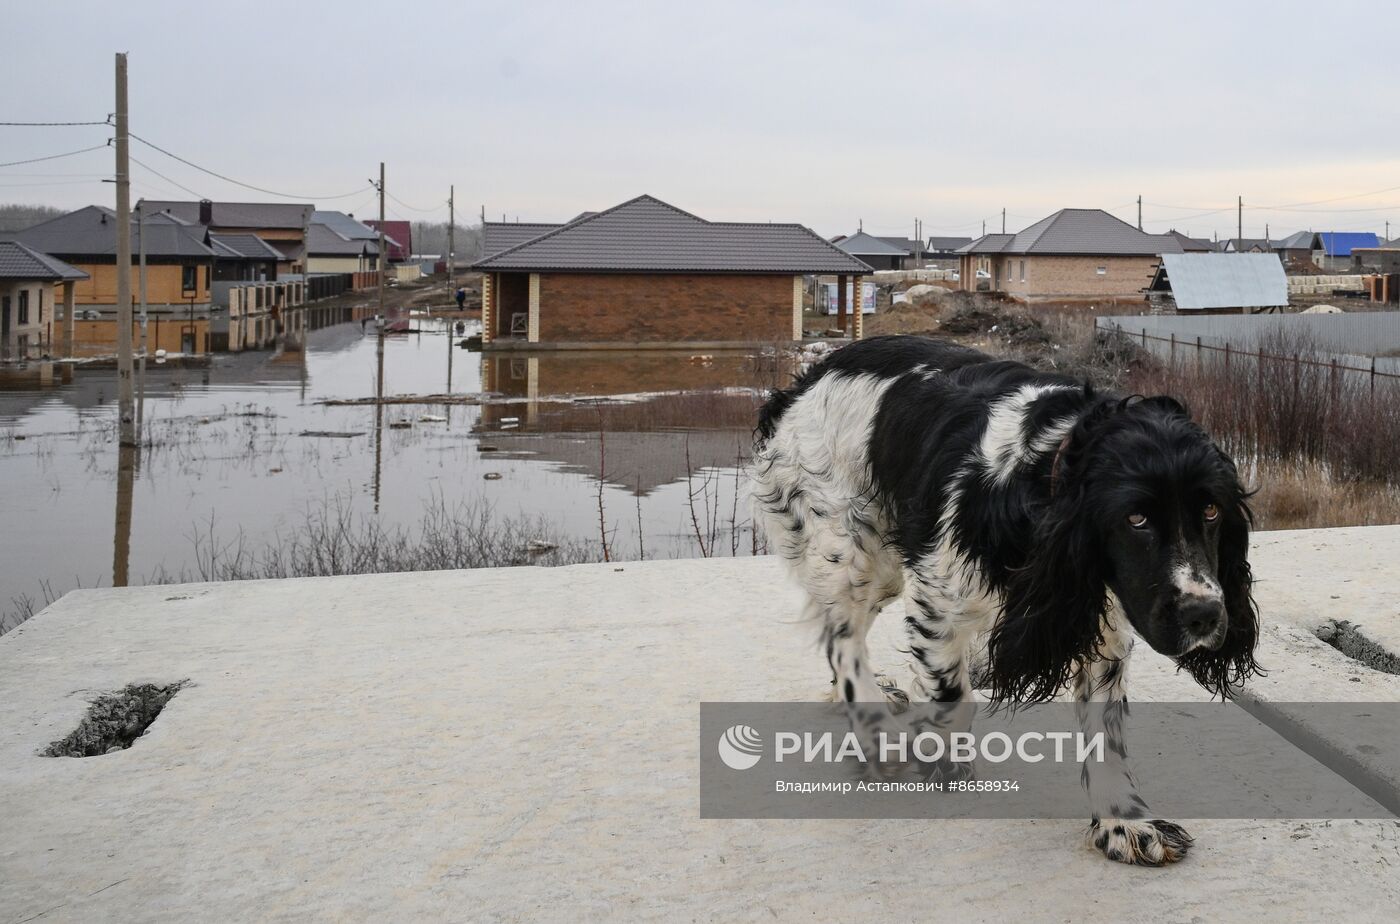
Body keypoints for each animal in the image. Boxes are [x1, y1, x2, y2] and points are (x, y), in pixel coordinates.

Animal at [750, 337, 1265, 868]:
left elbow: (1106, 734)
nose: (1205, 615)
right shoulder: (937, 605)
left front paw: (1123, 822)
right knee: (843, 639)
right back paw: (876, 733)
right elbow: (953, 699)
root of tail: (809, 375)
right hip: (852, 550)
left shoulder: (1101, 623)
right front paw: (944, 764)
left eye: (1211, 510)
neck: (1036, 489)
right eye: (1136, 519)